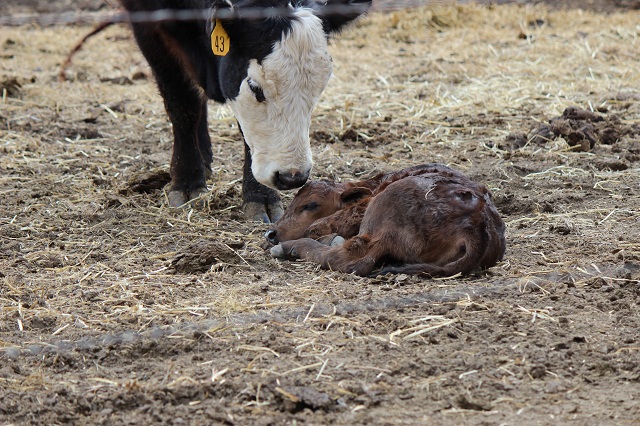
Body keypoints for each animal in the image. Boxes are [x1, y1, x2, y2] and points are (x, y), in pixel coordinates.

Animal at [120, 0, 371, 222]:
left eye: (321, 85)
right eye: (255, 87)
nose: (292, 177)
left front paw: (260, 197)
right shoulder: (150, 29)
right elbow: (183, 106)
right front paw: (187, 183)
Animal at [266, 164, 507, 277]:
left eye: (311, 205)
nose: (271, 233)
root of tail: (478, 223)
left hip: (382, 211)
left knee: (349, 259)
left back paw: (290, 247)